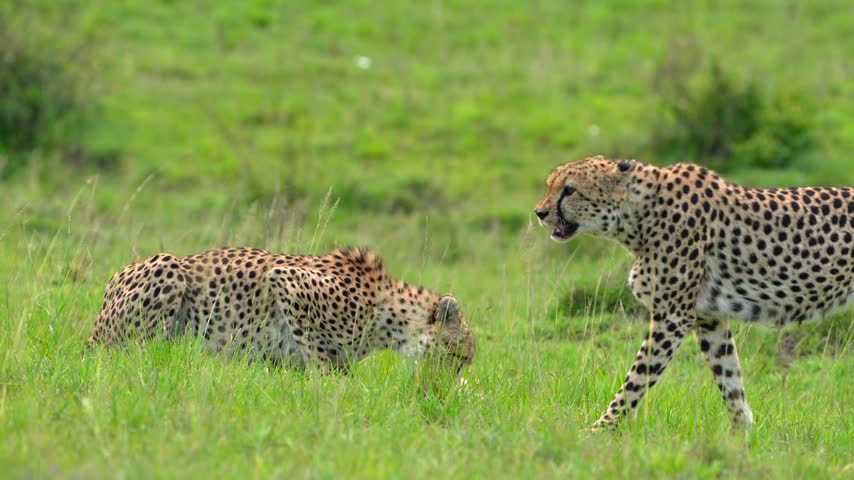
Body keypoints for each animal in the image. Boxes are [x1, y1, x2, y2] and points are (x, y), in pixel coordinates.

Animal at [88, 247, 475, 375]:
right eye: (458, 357)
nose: (442, 387)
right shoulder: (286, 280)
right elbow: (319, 359)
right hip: (167, 267)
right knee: (135, 355)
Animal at [534, 155, 854, 430]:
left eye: (569, 190)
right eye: (550, 185)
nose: (539, 213)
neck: (641, 213)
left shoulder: (673, 317)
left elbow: (635, 380)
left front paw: (599, 430)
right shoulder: (708, 318)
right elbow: (730, 379)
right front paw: (741, 436)